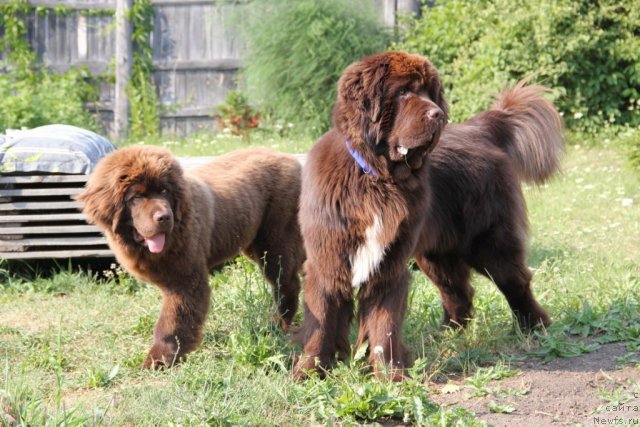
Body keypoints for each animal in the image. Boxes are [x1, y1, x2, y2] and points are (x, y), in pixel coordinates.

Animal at [76, 147, 304, 368]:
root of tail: (290, 158)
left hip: (276, 239)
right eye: (137, 197)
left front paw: (160, 358)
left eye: (164, 191)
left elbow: (172, 321)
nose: (164, 217)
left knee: (286, 282)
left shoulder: (185, 280)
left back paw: (278, 324)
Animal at [292, 51, 564, 382]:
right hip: (437, 252)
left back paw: (535, 327)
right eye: (403, 92)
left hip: (488, 242)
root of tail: (479, 128)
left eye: (430, 94)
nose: (438, 115)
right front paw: (309, 371)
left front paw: (390, 375)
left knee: (516, 282)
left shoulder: (389, 265)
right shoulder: (328, 259)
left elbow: (384, 325)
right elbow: (322, 321)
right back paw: (448, 335)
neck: (378, 179)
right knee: (458, 290)